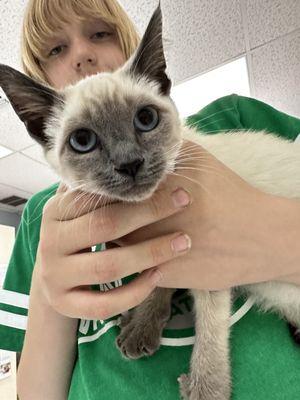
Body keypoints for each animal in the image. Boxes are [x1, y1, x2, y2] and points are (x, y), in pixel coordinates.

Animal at [0, 3, 300, 400]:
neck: (150, 218)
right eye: (83, 141)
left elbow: (209, 331)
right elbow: (158, 280)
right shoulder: (167, 253)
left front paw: (206, 389)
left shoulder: (213, 265)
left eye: (146, 119)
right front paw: (141, 326)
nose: (129, 164)